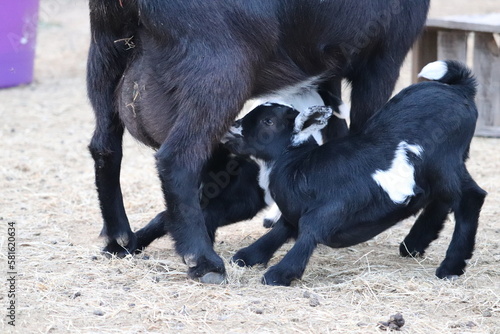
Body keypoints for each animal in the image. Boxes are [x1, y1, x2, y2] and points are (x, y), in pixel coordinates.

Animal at [225, 60, 486, 288]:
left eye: (268, 121)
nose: (231, 130)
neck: (300, 165)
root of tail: (460, 90)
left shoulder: (333, 207)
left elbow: (309, 230)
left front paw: (280, 274)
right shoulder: (293, 211)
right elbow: (282, 229)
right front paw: (248, 256)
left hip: (445, 162)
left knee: (471, 197)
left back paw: (450, 267)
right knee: (444, 199)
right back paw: (414, 244)